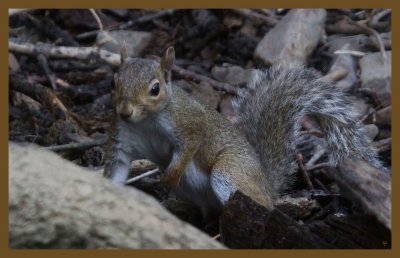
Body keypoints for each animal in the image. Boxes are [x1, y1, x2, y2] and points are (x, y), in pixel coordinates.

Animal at [102, 45, 384, 218]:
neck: (146, 122)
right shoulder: (122, 140)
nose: (125, 111)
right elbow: (116, 171)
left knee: (261, 205)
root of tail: (267, 184)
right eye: (113, 83)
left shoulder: (189, 123)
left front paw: (169, 178)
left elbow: (191, 144)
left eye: (155, 89)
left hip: (230, 172)